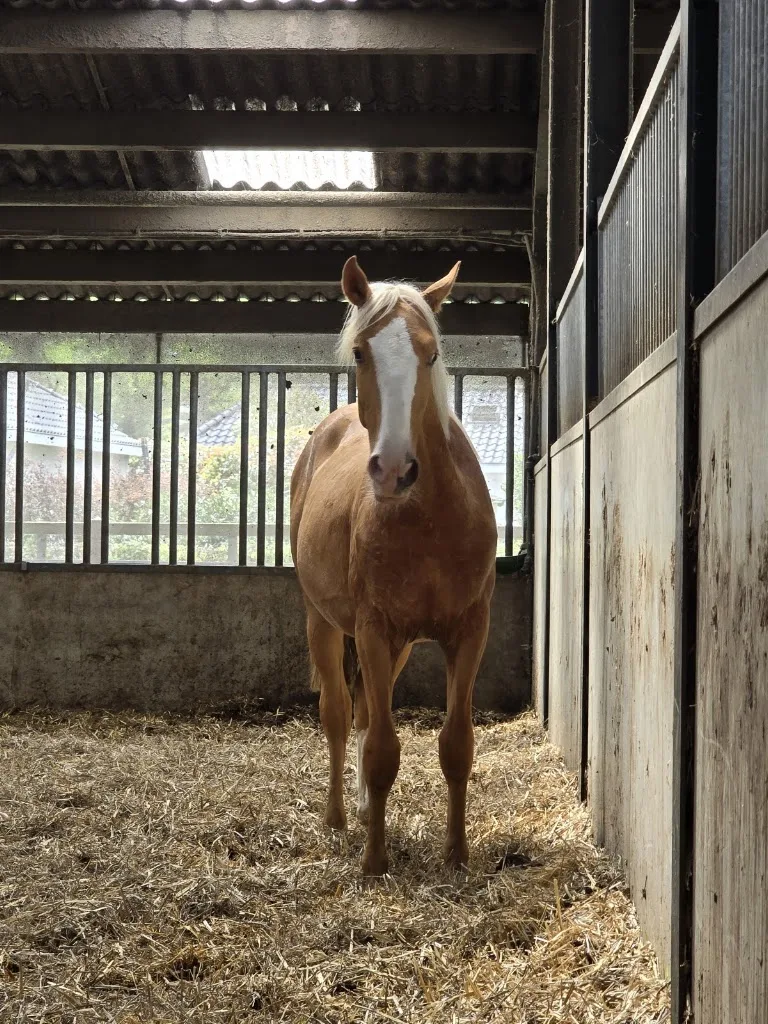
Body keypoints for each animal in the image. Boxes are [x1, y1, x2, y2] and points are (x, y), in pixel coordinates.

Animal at [290, 256, 498, 875]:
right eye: (361, 352)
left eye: (430, 353)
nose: (394, 471)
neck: (428, 520)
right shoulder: (372, 629)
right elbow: (382, 749)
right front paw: (375, 861)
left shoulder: (468, 631)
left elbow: (455, 745)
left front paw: (456, 853)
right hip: (323, 622)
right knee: (338, 715)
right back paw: (338, 818)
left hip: (398, 645)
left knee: (361, 714)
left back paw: (361, 810)